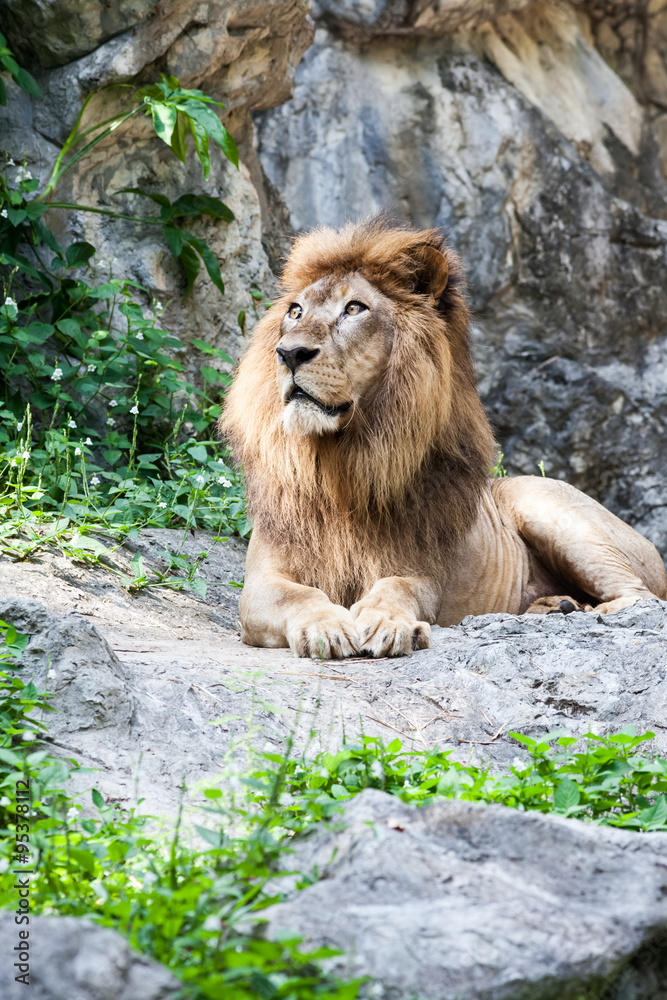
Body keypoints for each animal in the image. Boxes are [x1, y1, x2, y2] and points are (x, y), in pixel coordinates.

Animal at [221, 217, 667, 658]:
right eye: (295, 311)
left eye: (354, 309)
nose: (289, 353)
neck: (340, 464)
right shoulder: (259, 584)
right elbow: (298, 595)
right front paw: (326, 627)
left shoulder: (421, 571)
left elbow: (396, 588)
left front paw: (387, 623)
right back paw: (554, 606)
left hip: (546, 505)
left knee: (642, 598)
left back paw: (583, 610)